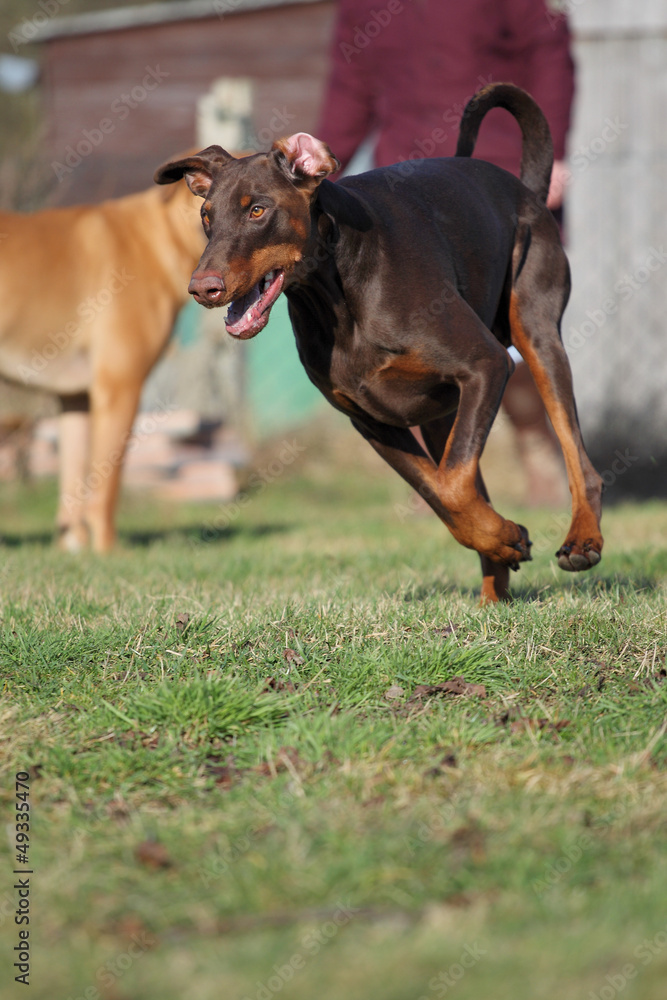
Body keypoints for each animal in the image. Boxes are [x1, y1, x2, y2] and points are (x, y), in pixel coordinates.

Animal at [0, 182, 204, 556]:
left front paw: (73, 546)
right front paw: (109, 549)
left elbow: (72, 485)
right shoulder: (120, 389)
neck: (160, 237)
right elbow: (107, 484)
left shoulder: (75, 400)